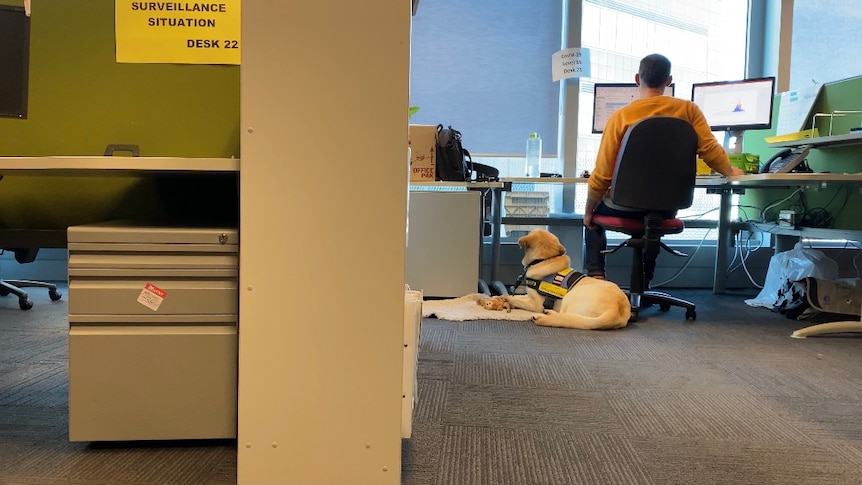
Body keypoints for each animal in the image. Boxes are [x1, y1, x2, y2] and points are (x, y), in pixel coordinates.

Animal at [502, 228, 632, 328]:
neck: (545, 260)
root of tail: (615, 310)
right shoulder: (529, 296)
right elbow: (519, 296)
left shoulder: (536, 304)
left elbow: (515, 299)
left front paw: (505, 298)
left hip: (570, 296)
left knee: (564, 316)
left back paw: (547, 314)